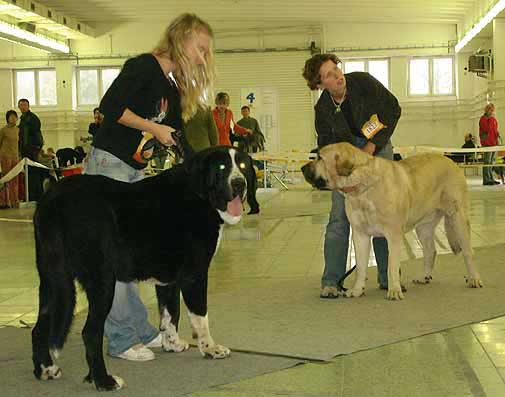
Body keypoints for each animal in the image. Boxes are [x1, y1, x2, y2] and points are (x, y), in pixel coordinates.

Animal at [31, 145, 250, 390]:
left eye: (242, 165)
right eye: (221, 167)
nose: (239, 183)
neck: (198, 192)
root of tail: (52, 200)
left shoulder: (168, 279)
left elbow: (170, 313)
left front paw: (172, 343)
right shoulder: (195, 275)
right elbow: (200, 316)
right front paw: (210, 348)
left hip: (52, 280)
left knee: (39, 328)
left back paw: (46, 369)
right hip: (102, 282)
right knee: (90, 333)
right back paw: (104, 381)